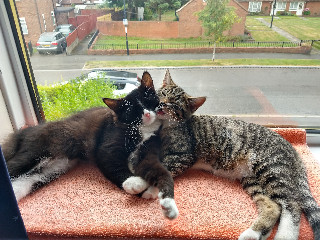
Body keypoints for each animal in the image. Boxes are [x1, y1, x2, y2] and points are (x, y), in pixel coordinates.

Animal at [124, 69, 320, 238]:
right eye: (162, 94)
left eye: (174, 104)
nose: (162, 104)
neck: (166, 126)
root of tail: (290, 147)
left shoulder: (183, 155)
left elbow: (164, 167)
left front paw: (137, 183)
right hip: (252, 178)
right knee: (272, 206)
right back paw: (253, 234)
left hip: (271, 167)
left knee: (292, 205)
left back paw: (284, 235)